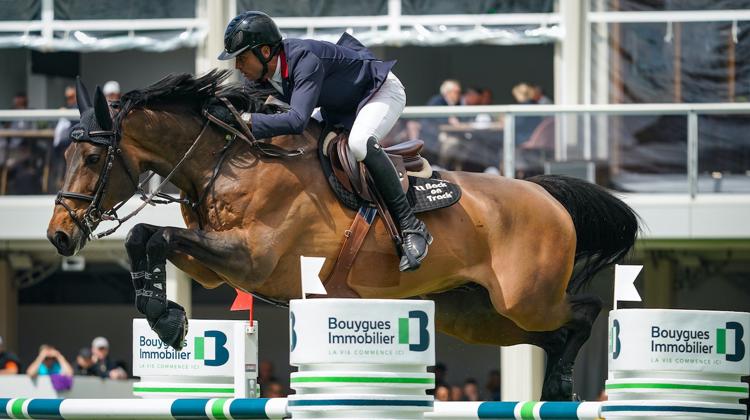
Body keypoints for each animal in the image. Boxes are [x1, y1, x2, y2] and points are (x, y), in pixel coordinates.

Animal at [47, 69, 636, 400]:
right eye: (67, 154)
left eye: (94, 158)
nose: (59, 236)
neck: (228, 161)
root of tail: (546, 195)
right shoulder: (216, 266)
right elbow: (147, 238)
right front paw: (164, 314)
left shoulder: (253, 259)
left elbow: (154, 235)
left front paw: (167, 319)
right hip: (475, 314)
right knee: (555, 333)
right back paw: (557, 386)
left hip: (525, 298)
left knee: (583, 312)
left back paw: (561, 384)